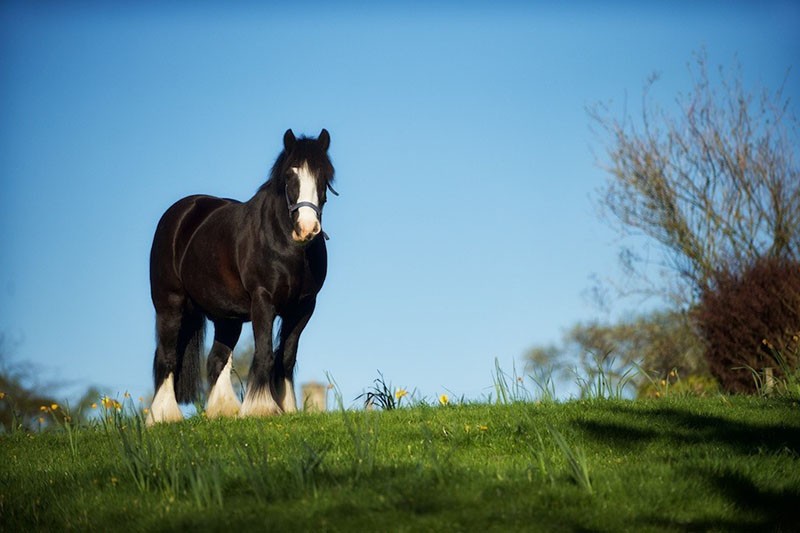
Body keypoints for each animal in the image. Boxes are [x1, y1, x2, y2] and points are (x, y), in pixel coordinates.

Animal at [148, 129, 338, 424]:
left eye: (324, 177)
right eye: (289, 175)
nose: (307, 228)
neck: (285, 244)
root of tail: (182, 212)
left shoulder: (303, 308)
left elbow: (286, 357)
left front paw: (287, 407)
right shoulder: (263, 302)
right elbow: (264, 354)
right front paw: (261, 407)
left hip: (228, 318)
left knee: (216, 360)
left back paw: (222, 410)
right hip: (169, 304)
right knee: (167, 358)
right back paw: (163, 416)